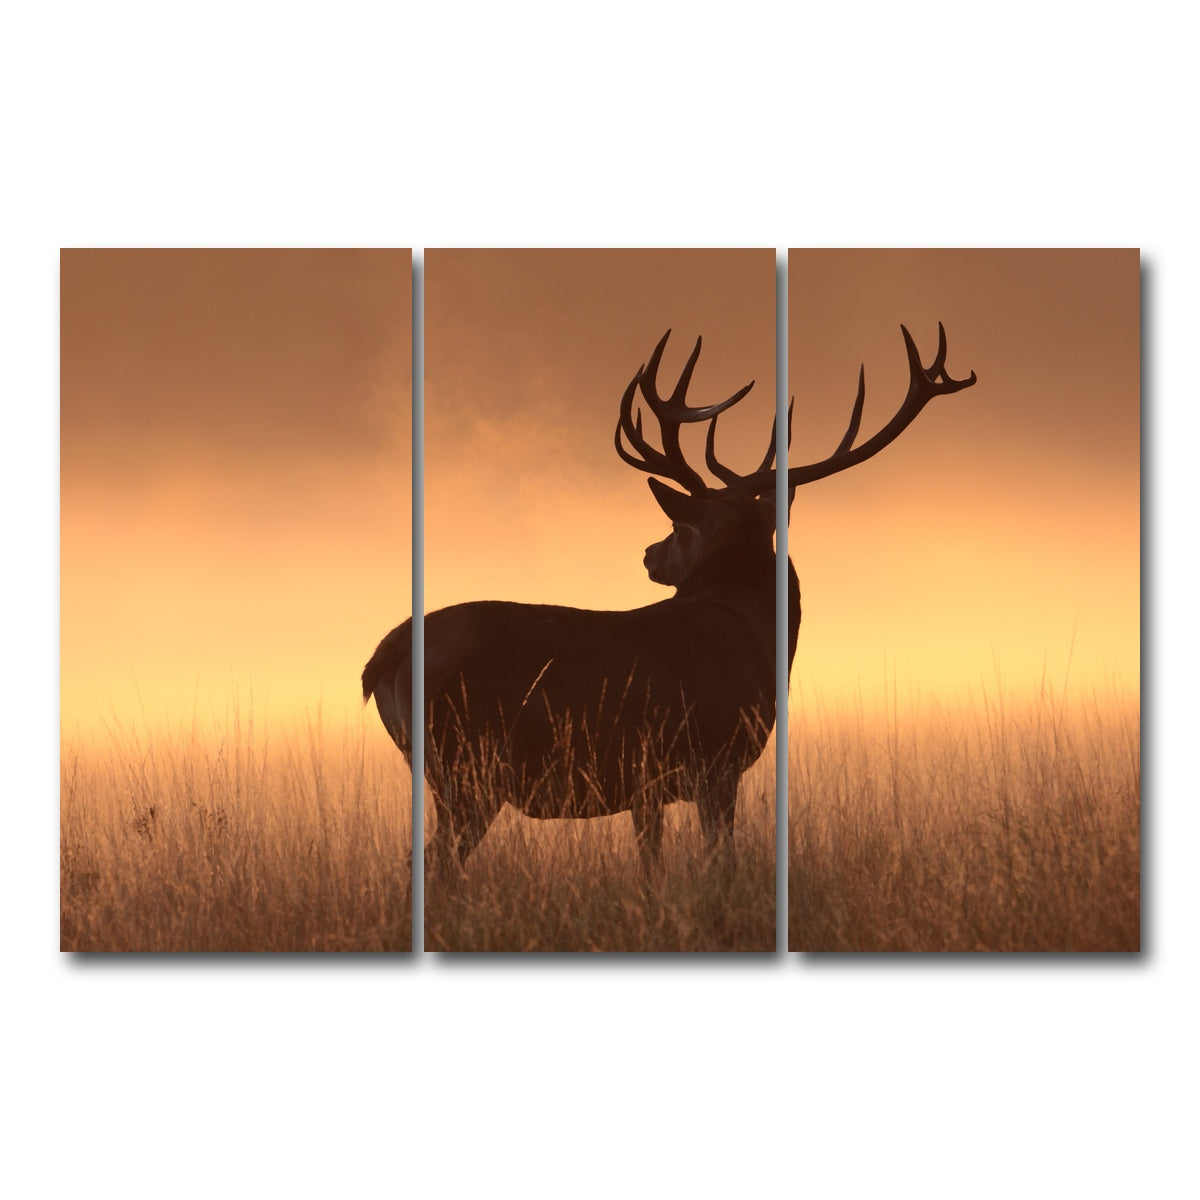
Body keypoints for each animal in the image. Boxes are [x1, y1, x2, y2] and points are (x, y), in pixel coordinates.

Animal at [363, 325, 977, 877]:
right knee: (435, 862)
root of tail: (381, 659)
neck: (757, 637)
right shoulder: (716, 759)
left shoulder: (647, 786)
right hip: (468, 766)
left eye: (681, 530)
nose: (649, 554)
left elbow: (652, 865)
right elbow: (719, 862)